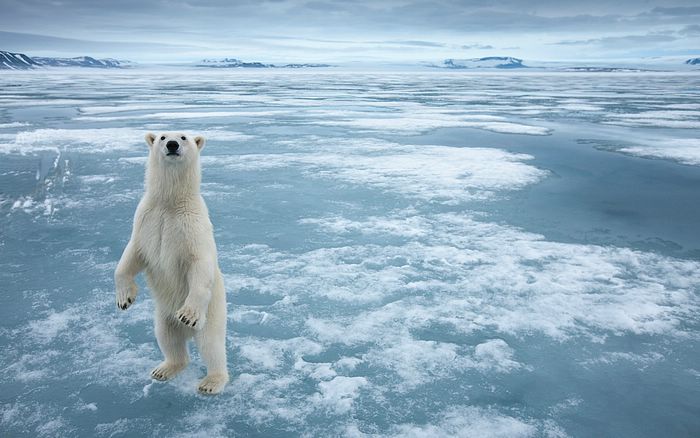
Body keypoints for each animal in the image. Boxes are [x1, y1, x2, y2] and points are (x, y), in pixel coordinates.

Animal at [115, 132, 228, 396]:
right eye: (162, 136)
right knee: (168, 338)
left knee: (211, 344)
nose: (172, 145)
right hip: (163, 315)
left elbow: (199, 264)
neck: (170, 202)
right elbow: (131, 256)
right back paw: (164, 369)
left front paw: (187, 314)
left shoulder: (192, 227)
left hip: (213, 312)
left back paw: (211, 381)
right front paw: (125, 299)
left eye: (184, 137)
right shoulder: (146, 220)